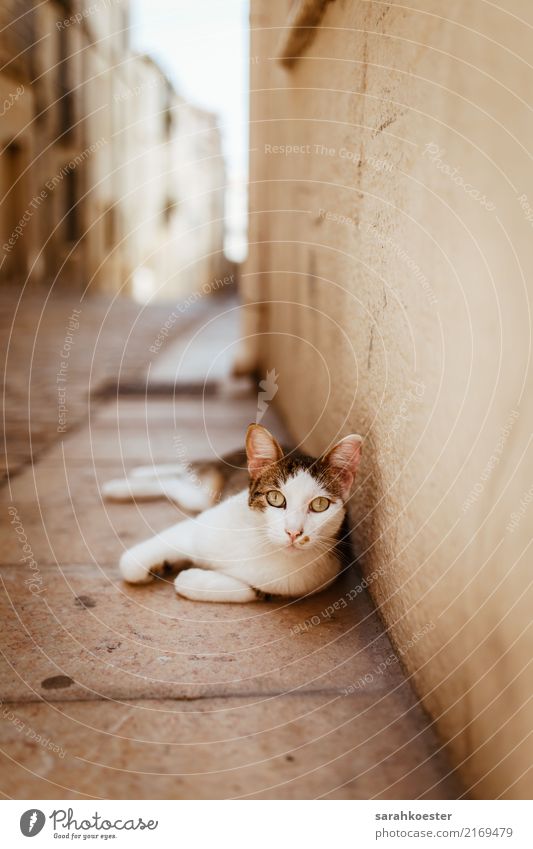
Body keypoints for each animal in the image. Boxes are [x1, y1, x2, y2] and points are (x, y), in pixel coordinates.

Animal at [103, 424, 362, 604]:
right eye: (275, 498)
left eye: (320, 504)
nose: (293, 532)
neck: (262, 542)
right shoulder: (198, 527)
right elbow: (130, 566)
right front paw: (151, 567)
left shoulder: (302, 581)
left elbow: (248, 589)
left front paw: (190, 578)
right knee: (184, 475)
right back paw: (125, 483)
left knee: (177, 485)